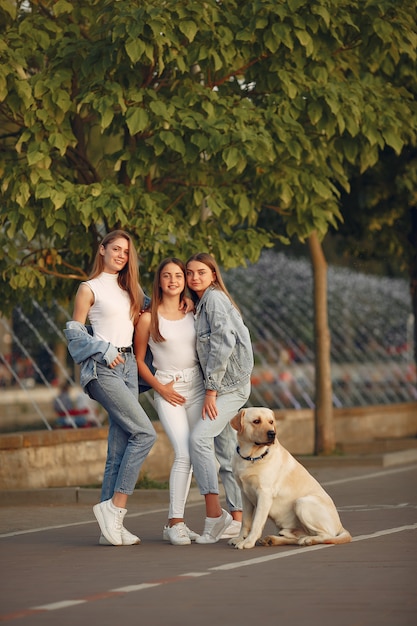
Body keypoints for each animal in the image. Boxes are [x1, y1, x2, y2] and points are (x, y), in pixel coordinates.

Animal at [228, 404, 352, 544]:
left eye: (271, 422)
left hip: (302, 503)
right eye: (256, 421)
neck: (251, 457)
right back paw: (273, 539)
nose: (272, 433)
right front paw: (240, 538)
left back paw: (309, 540)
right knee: (295, 537)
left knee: (326, 535)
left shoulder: (264, 494)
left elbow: (256, 522)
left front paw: (248, 542)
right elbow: (245, 521)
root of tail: (340, 526)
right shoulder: (245, 494)